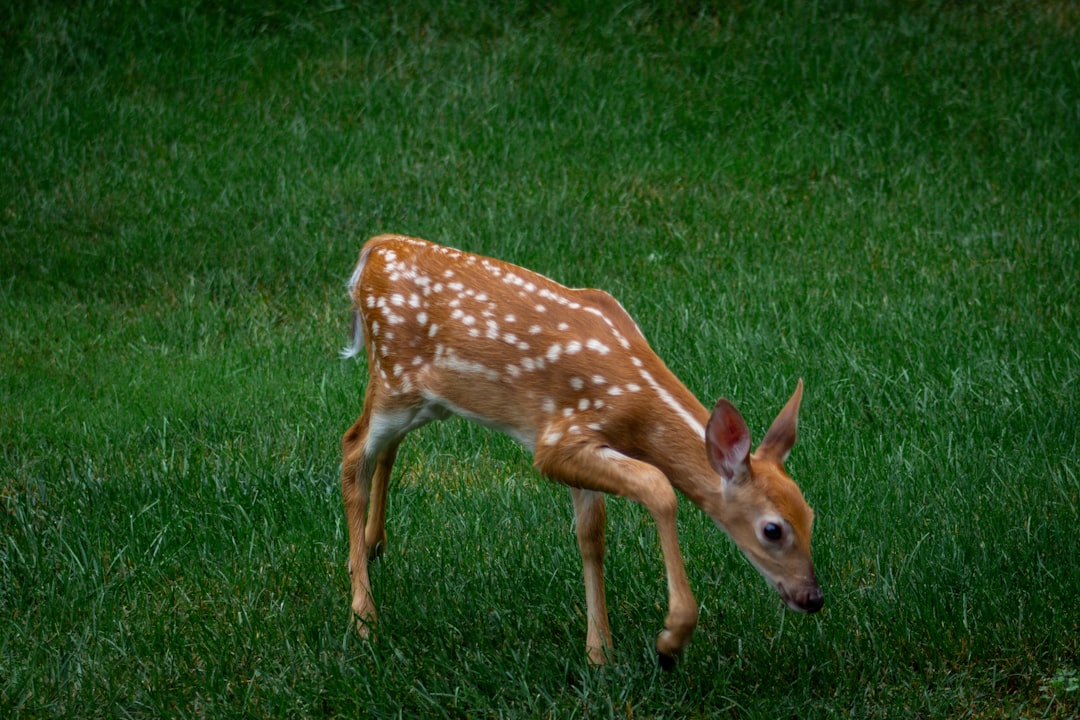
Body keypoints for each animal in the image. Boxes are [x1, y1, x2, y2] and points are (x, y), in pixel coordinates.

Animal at [339, 234, 823, 667]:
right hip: (395, 379)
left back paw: (373, 546)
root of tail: (372, 250)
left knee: (385, 449)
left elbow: (591, 535)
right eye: (773, 530)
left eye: (810, 514)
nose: (814, 597)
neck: (636, 407)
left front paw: (598, 654)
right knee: (352, 449)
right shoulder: (558, 441)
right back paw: (364, 618)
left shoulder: (581, 447)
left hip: (425, 401)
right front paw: (671, 639)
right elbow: (658, 486)